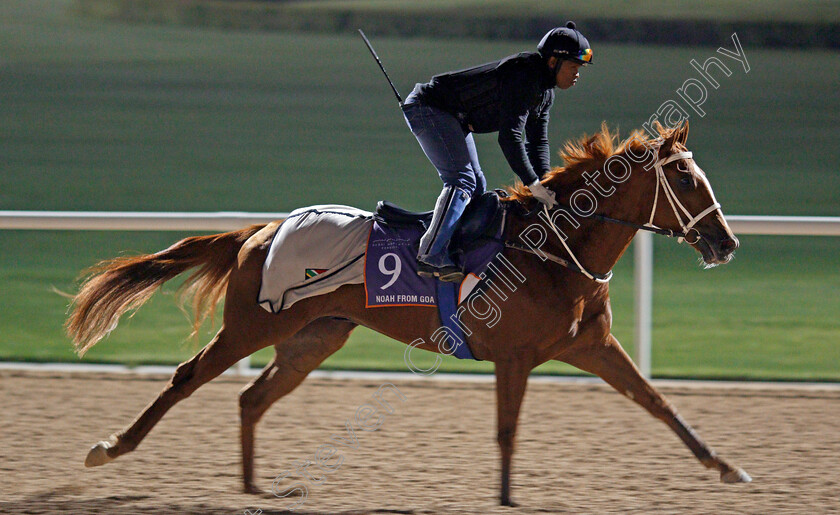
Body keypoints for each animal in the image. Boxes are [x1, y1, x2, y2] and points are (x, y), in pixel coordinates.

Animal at [65, 122, 748, 508]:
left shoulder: (592, 346)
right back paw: (110, 447)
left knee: (251, 398)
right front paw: (505, 498)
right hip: (253, 325)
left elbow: (659, 403)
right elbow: (507, 430)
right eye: (686, 179)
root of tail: (262, 230)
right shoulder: (516, 356)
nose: (726, 242)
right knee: (188, 378)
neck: (557, 250)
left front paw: (726, 466)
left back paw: (255, 487)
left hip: (314, 337)